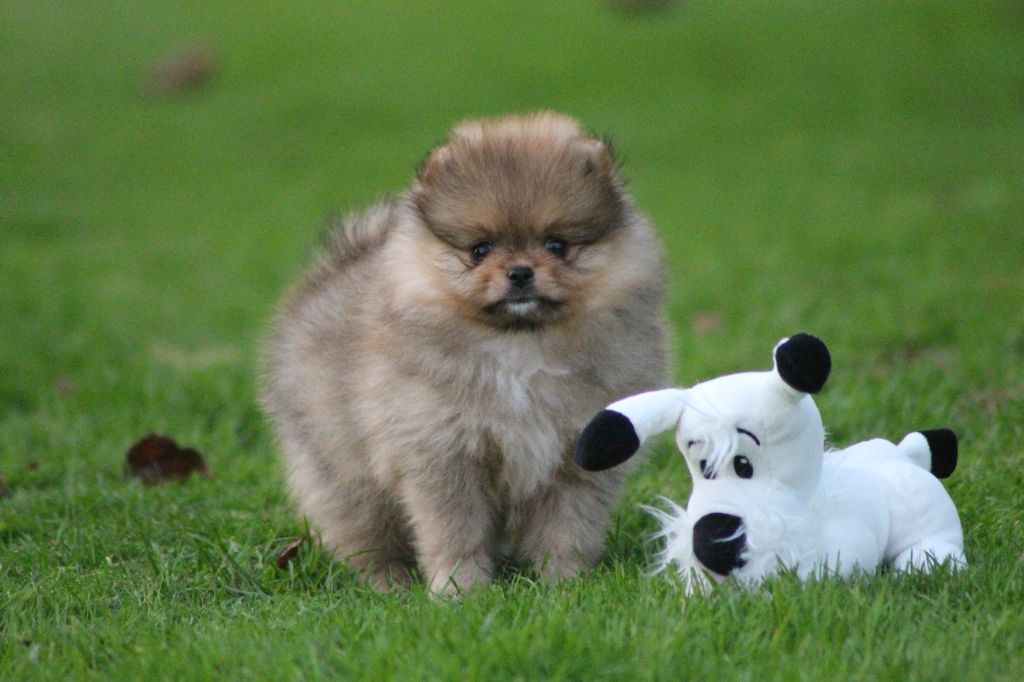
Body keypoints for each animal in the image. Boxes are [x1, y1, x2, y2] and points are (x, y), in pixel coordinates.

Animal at [260, 110, 667, 589]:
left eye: (556, 244)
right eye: (480, 249)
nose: (520, 272)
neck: (519, 344)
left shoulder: (578, 455)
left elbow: (566, 529)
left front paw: (563, 584)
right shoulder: (443, 451)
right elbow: (455, 531)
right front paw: (460, 589)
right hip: (342, 466)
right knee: (363, 533)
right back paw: (388, 583)